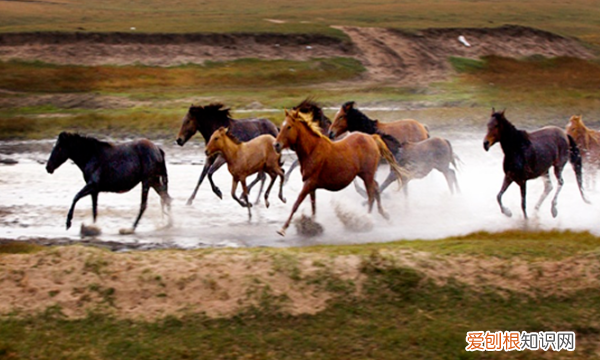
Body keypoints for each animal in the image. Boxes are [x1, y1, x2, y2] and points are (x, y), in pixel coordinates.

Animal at [274, 109, 406, 236]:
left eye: (289, 127)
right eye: (282, 125)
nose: (276, 145)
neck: (312, 150)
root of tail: (372, 138)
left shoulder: (309, 183)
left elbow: (296, 204)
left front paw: (282, 229)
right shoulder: (311, 186)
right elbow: (313, 206)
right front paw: (313, 225)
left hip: (367, 175)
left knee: (371, 195)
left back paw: (366, 220)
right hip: (364, 174)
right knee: (376, 188)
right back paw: (384, 215)